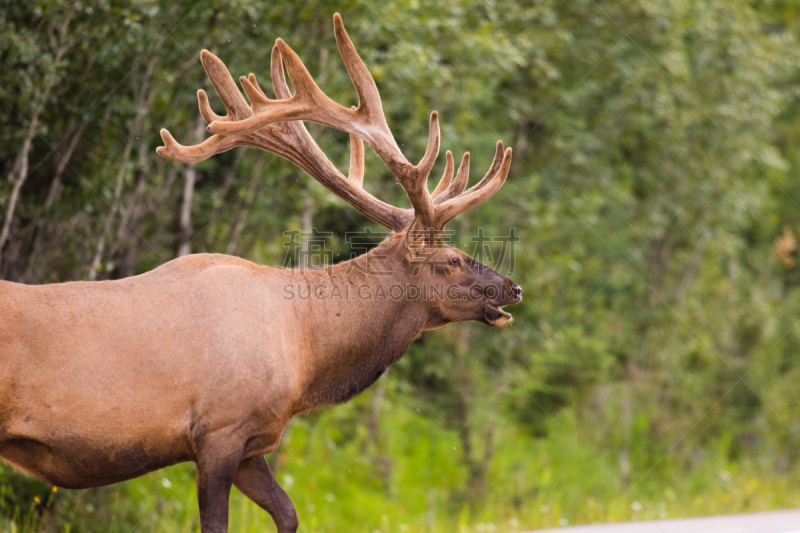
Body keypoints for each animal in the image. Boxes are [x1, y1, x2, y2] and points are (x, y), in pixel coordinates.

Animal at [0, 13, 520, 532]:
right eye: (451, 260)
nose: (511, 287)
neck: (306, 350)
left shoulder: (252, 444)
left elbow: (288, 512)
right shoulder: (219, 431)